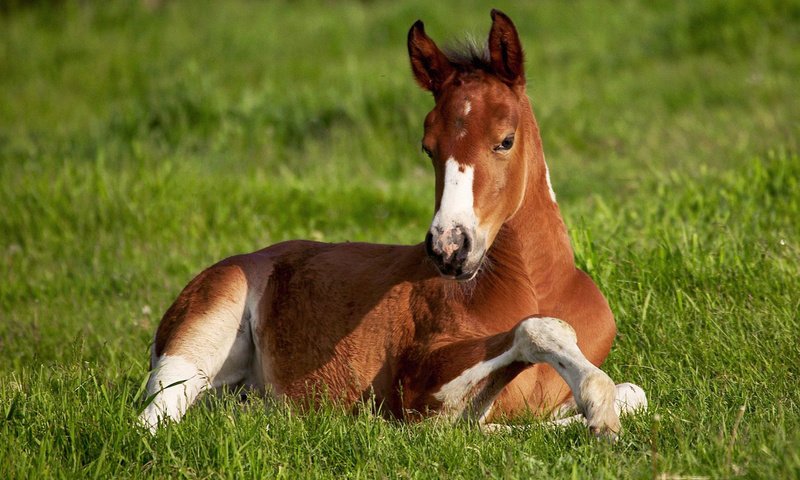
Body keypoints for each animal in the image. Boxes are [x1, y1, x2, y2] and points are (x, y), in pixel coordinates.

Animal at [139, 8, 644, 438]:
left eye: (505, 140)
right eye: (428, 147)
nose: (449, 247)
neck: (536, 286)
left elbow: (634, 393)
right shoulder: (416, 388)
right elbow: (532, 336)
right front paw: (597, 406)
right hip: (197, 338)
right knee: (153, 420)